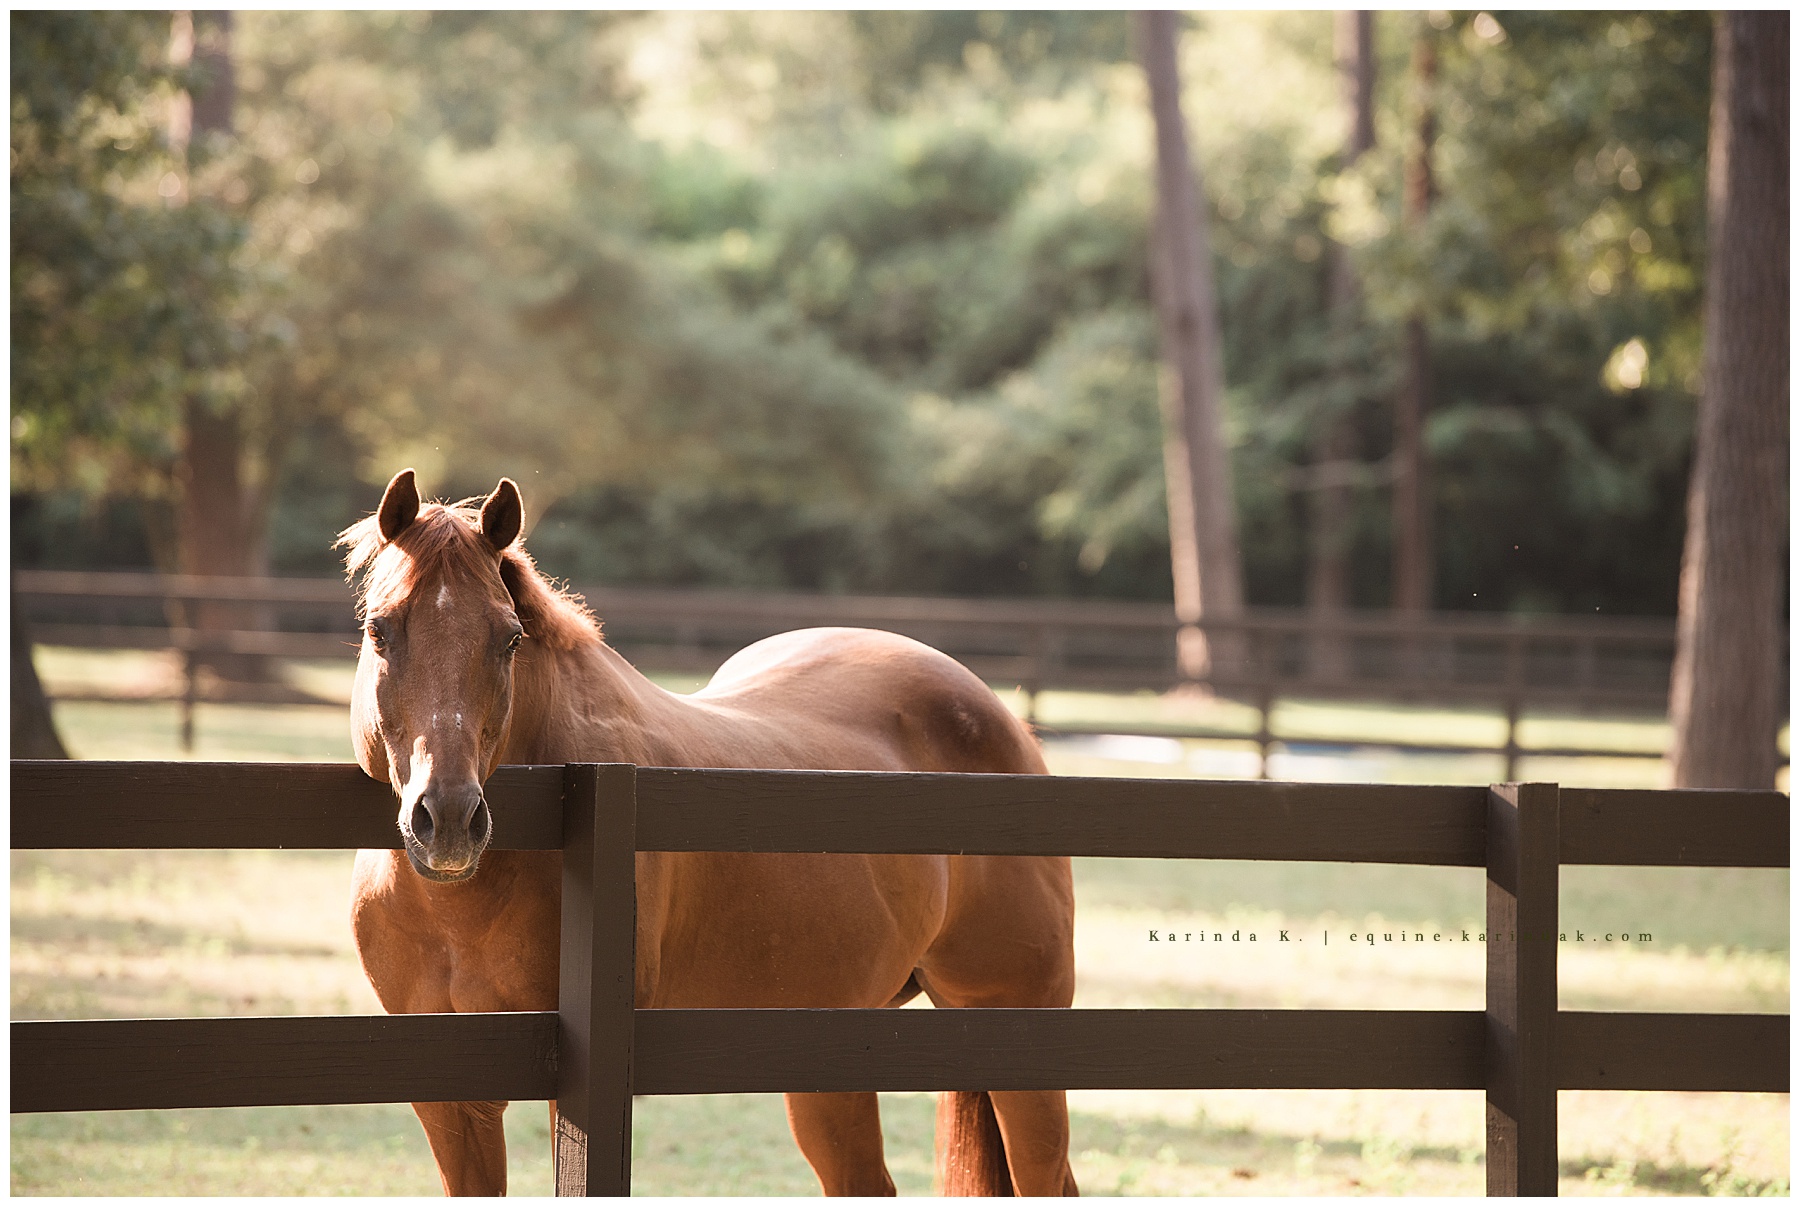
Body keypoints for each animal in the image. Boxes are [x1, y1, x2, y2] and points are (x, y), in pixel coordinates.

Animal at [338, 468, 1079, 1197]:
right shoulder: (453, 1101)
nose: (449, 820)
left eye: (509, 638)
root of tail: (999, 717)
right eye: (380, 629)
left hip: (1018, 1031)